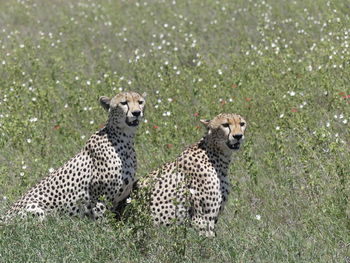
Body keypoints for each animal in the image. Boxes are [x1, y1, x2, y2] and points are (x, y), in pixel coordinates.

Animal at [4, 92, 146, 222]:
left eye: (140, 102)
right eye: (124, 103)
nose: (137, 113)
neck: (125, 138)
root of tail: (4, 218)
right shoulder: (100, 200)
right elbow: (103, 225)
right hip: (37, 210)